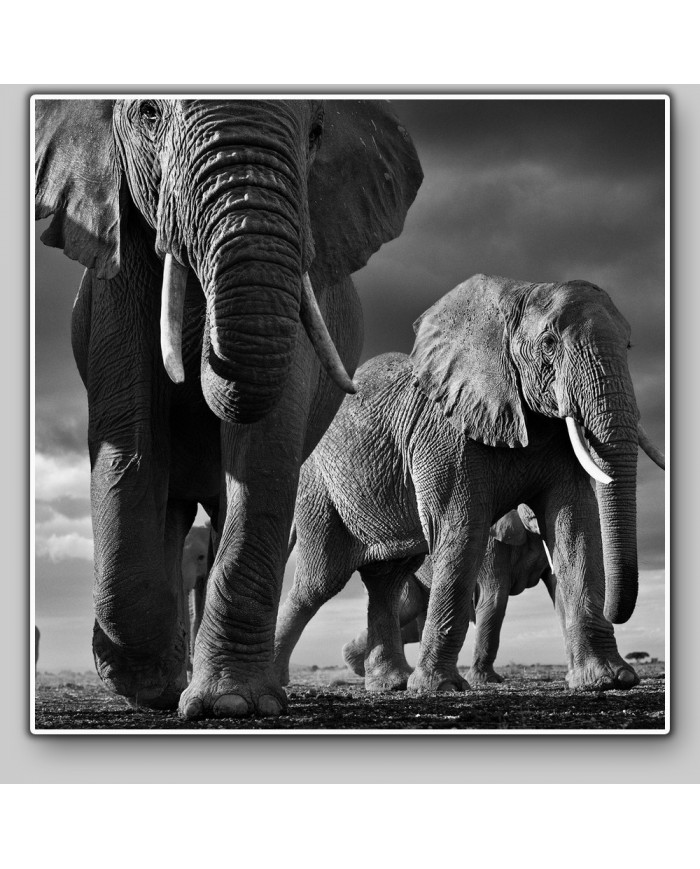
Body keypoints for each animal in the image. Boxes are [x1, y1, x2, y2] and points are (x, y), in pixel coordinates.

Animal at [35, 98, 423, 717]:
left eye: (316, 131)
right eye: (148, 114)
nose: (203, 356)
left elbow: (262, 449)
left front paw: (232, 704)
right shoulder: (116, 269)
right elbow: (131, 444)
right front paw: (140, 683)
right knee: (170, 511)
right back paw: (163, 682)